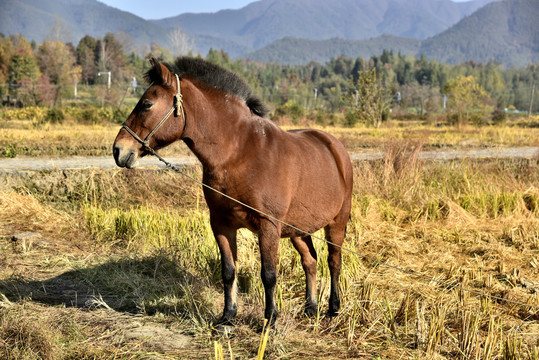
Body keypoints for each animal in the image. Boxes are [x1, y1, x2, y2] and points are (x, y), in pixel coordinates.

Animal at [114, 57, 354, 324]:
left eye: (146, 104)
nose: (118, 150)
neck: (240, 154)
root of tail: (336, 147)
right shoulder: (221, 224)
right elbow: (228, 271)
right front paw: (228, 316)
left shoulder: (268, 226)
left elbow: (268, 274)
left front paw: (270, 319)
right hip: (298, 229)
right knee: (310, 261)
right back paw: (310, 307)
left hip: (337, 222)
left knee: (334, 262)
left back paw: (333, 308)